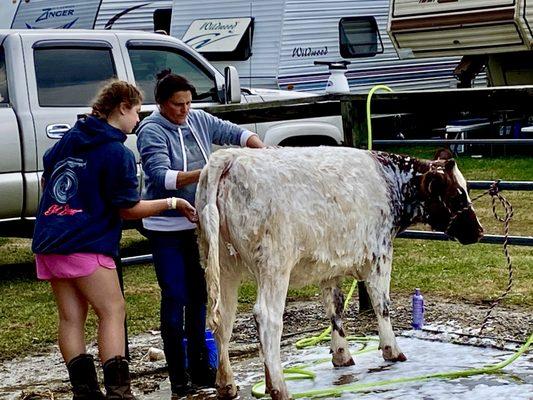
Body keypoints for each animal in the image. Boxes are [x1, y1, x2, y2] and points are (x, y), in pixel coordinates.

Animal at [196, 148, 482, 400]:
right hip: (274, 265)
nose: (479, 231)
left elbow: (335, 308)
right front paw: (392, 350)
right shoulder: (380, 254)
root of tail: (230, 157)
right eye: (457, 196)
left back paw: (227, 385)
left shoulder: (328, 266)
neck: (390, 181)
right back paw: (278, 387)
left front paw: (341, 354)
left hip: (223, 265)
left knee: (224, 320)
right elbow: (382, 304)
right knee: (267, 318)